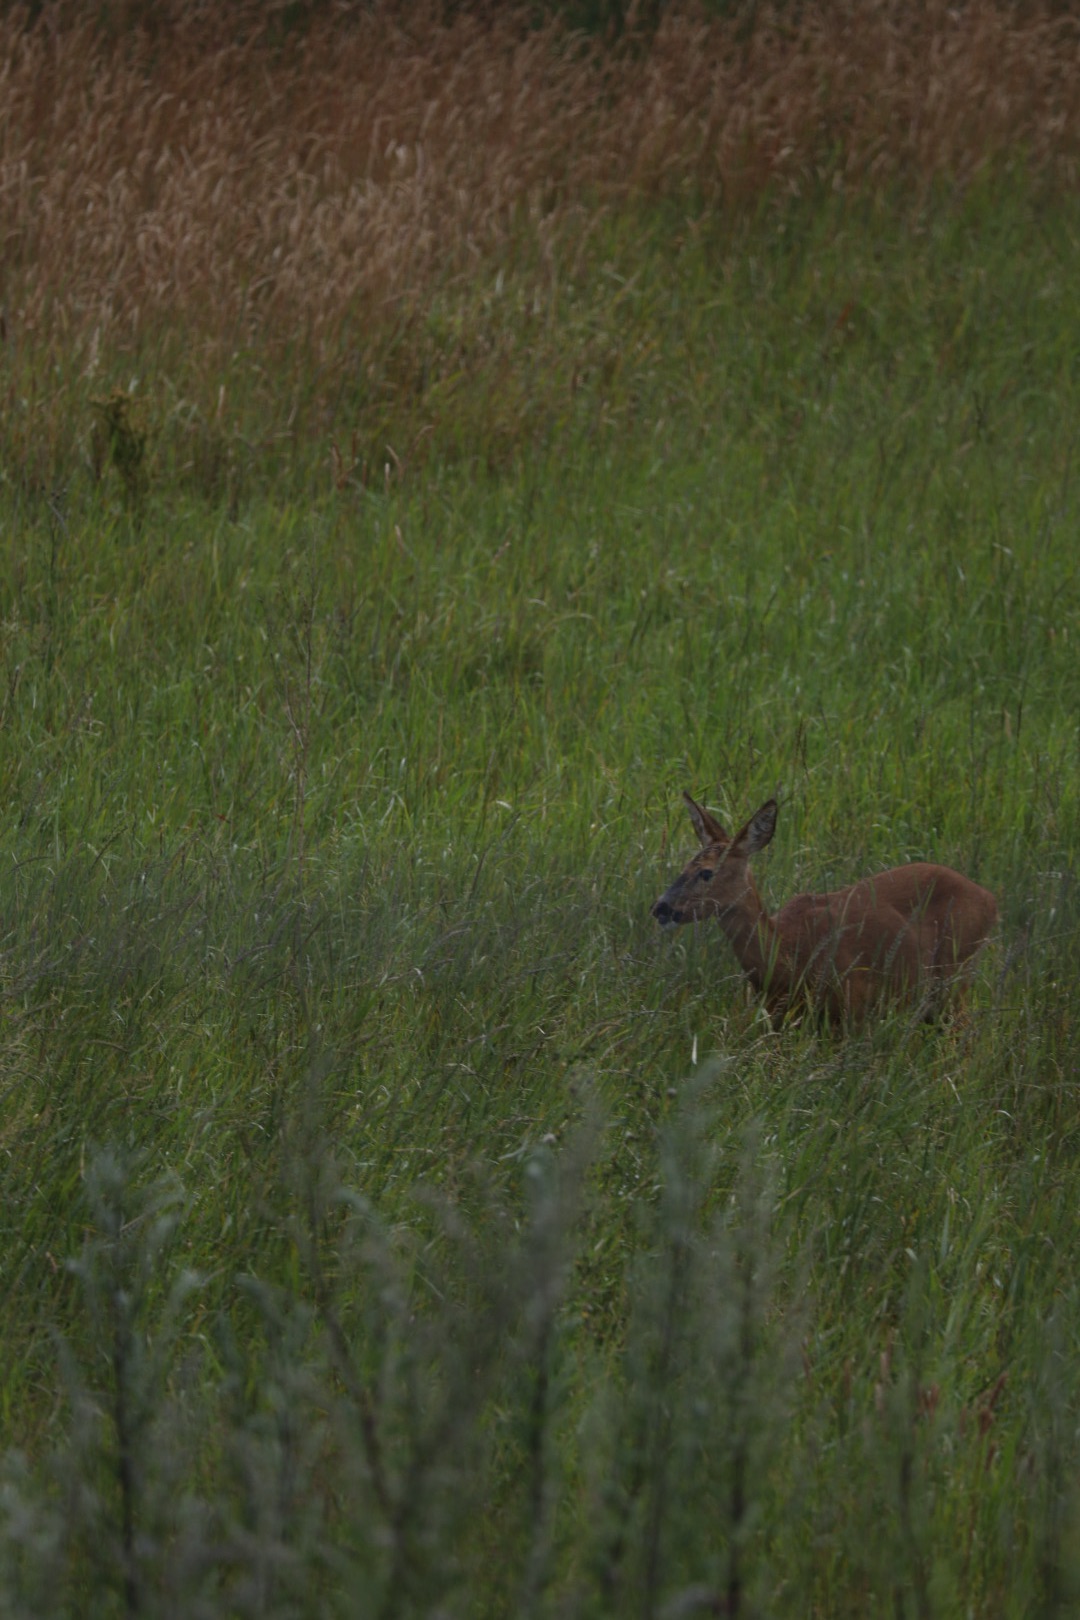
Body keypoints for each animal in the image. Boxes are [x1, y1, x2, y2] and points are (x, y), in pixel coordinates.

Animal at [650, 797, 997, 1023]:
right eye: (684, 866)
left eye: (706, 872)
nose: (661, 907)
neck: (788, 955)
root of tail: (990, 899)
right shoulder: (779, 1016)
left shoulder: (853, 1005)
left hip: (956, 977)